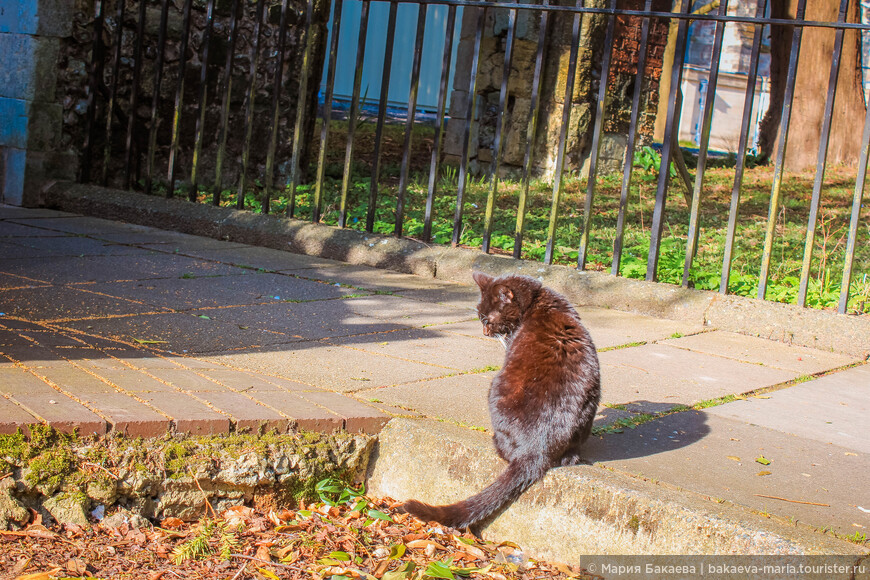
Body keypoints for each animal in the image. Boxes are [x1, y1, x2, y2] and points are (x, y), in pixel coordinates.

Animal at [402, 272, 600, 532]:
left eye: (487, 319)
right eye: (479, 317)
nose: (484, 332)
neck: (538, 301)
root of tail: (534, 451)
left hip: (495, 389)